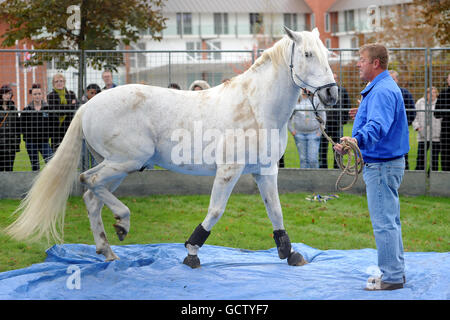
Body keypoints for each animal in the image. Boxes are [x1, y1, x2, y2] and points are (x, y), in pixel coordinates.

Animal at [5, 27, 338, 268]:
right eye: (307, 54)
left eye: (327, 54)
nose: (332, 94)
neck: (255, 107)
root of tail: (87, 106)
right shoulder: (229, 171)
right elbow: (216, 210)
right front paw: (191, 252)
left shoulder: (265, 171)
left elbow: (276, 212)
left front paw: (291, 254)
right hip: (126, 161)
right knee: (89, 181)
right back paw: (122, 223)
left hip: (119, 165)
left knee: (91, 195)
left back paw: (108, 249)